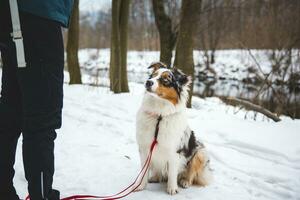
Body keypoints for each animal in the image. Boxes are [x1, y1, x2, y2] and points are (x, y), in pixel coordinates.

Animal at [135, 61, 212, 195]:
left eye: (165, 80)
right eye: (153, 76)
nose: (148, 82)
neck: (159, 115)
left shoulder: (174, 151)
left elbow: (172, 172)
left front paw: (172, 188)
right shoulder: (145, 148)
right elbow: (144, 171)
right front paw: (141, 186)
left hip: (200, 152)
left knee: (190, 173)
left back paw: (185, 181)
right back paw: (155, 177)